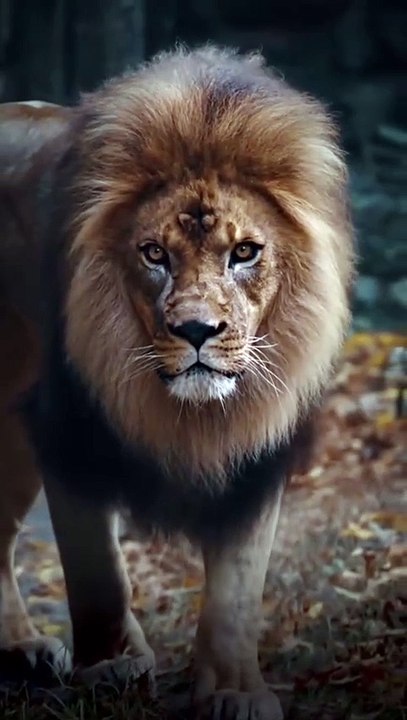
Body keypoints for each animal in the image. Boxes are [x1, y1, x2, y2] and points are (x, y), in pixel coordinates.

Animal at [0, 47, 354, 718]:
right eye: (154, 254)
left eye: (244, 253)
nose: (196, 330)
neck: (184, 412)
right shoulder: (68, 433)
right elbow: (97, 570)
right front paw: (111, 664)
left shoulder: (256, 457)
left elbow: (236, 591)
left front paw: (236, 691)